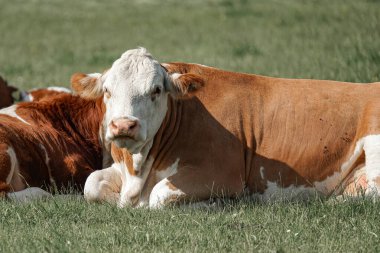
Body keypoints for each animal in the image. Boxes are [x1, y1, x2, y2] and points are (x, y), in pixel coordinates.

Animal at [75, 48, 380, 209]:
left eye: (156, 90)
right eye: (107, 90)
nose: (124, 125)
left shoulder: (222, 173)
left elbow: (159, 196)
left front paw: (213, 204)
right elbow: (91, 184)